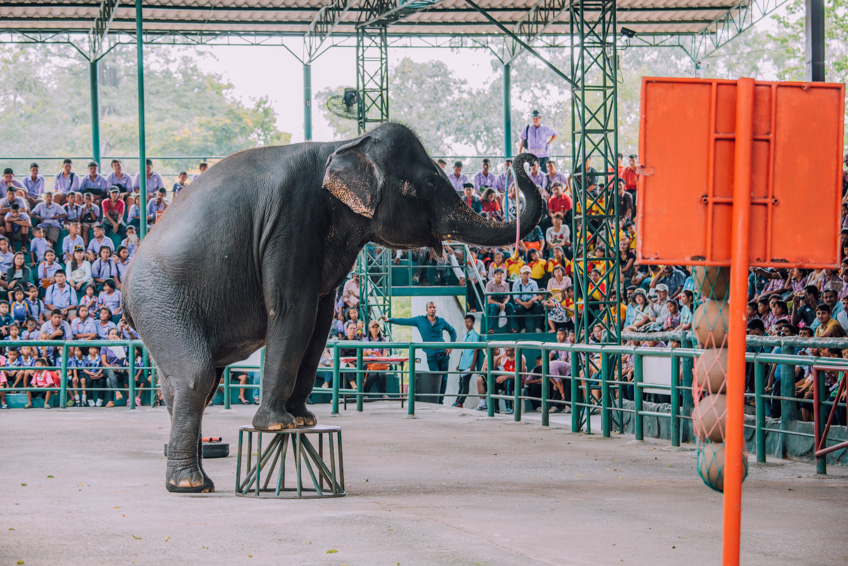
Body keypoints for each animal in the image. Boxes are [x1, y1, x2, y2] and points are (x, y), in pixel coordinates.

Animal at [122, 123, 543, 493]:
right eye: (428, 183)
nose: (527, 156)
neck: (344, 143)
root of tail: (127, 285)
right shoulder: (290, 220)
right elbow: (292, 309)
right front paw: (276, 425)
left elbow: (320, 318)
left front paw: (303, 419)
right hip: (161, 301)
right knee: (196, 376)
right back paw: (190, 484)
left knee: (189, 385)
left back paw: (193, 479)